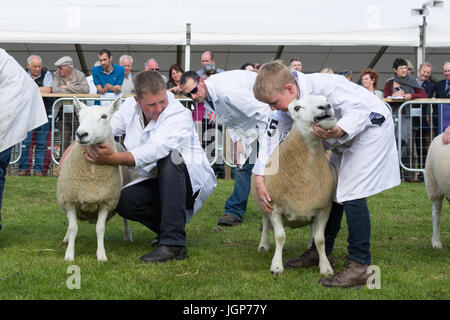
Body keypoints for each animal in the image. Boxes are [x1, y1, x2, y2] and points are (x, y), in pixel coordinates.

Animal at [56, 96, 132, 262]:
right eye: (79, 116)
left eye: (104, 116)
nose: (81, 134)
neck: (91, 171)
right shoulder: (69, 200)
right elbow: (73, 228)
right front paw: (69, 254)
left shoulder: (106, 201)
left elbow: (100, 228)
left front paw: (101, 255)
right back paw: (66, 239)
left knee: (125, 218)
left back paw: (128, 236)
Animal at [251, 94, 336, 276]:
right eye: (297, 108)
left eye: (327, 99)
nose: (325, 106)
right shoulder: (274, 207)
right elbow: (280, 236)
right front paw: (276, 267)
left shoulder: (324, 209)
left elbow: (320, 239)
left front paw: (325, 267)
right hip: (263, 204)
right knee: (265, 223)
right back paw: (263, 246)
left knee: (312, 230)